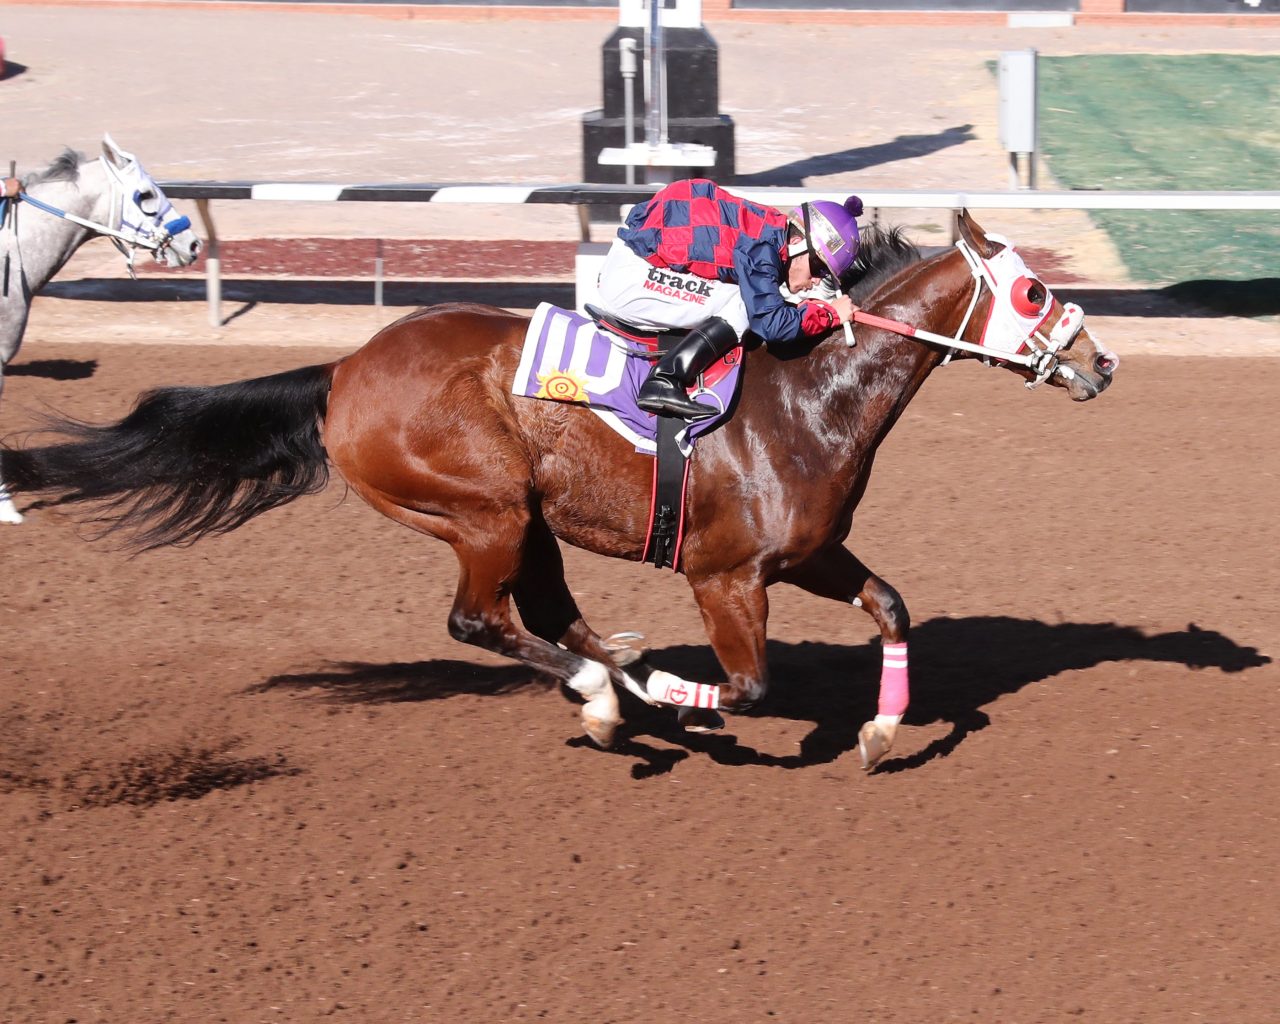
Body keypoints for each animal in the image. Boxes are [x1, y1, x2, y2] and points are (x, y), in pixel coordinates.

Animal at [0, 209, 1116, 768]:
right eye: (1031, 291)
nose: (1099, 363)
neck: (807, 397)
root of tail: (343, 372)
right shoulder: (725, 578)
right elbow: (750, 686)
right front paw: (678, 701)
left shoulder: (807, 555)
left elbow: (890, 605)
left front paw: (883, 732)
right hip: (479, 507)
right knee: (478, 622)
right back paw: (609, 698)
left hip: (526, 519)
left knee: (542, 615)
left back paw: (608, 680)